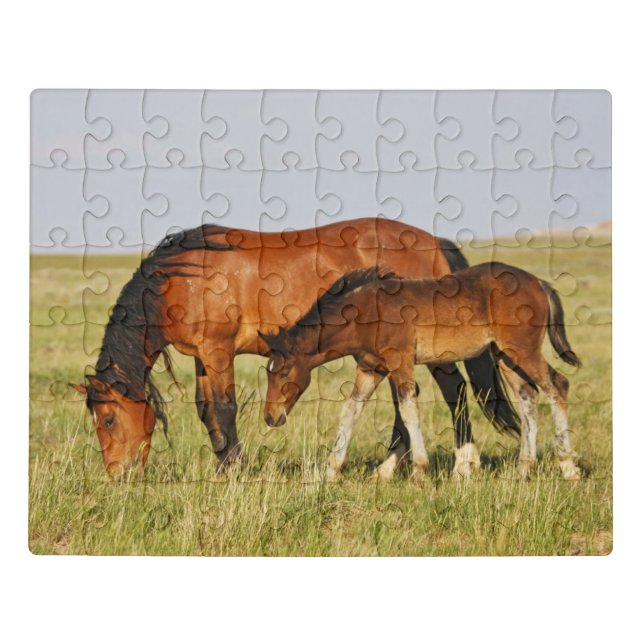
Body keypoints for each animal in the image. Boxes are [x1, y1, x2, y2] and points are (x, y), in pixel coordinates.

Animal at [71, 218, 520, 477]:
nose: (118, 474)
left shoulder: (218, 352)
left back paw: (464, 463)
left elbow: (225, 408)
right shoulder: (202, 356)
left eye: (107, 419)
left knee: (453, 390)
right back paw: (389, 468)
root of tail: (433, 241)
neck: (181, 280)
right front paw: (222, 466)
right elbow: (206, 411)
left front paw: (236, 471)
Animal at [261, 263, 582, 482]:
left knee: (558, 385)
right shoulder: (371, 368)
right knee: (529, 396)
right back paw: (524, 467)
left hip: (523, 350)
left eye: (284, 372)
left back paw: (568, 468)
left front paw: (419, 472)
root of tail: (538, 282)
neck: (365, 313)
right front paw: (330, 471)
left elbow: (408, 409)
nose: (271, 417)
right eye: (268, 372)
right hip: (505, 356)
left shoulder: (400, 361)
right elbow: (350, 411)